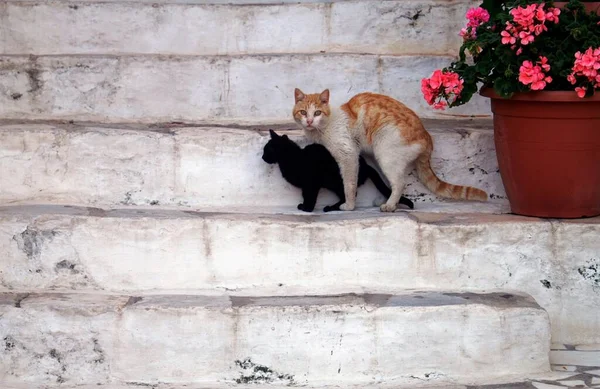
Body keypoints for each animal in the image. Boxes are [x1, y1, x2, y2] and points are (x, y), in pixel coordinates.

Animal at [262, 129, 412, 211]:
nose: (262, 157)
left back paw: (331, 207)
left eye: (267, 150)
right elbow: (305, 195)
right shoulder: (307, 185)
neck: (293, 158)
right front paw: (304, 206)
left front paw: (307, 208)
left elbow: (310, 196)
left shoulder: (311, 184)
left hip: (337, 182)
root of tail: (365, 165)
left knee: (350, 195)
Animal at [292, 88, 488, 212]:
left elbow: (349, 184)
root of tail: (426, 136)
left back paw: (390, 206)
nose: (309, 121)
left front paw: (349, 206)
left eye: (317, 113)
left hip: (384, 151)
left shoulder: (348, 155)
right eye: (303, 112)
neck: (325, 125)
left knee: (400, 183)